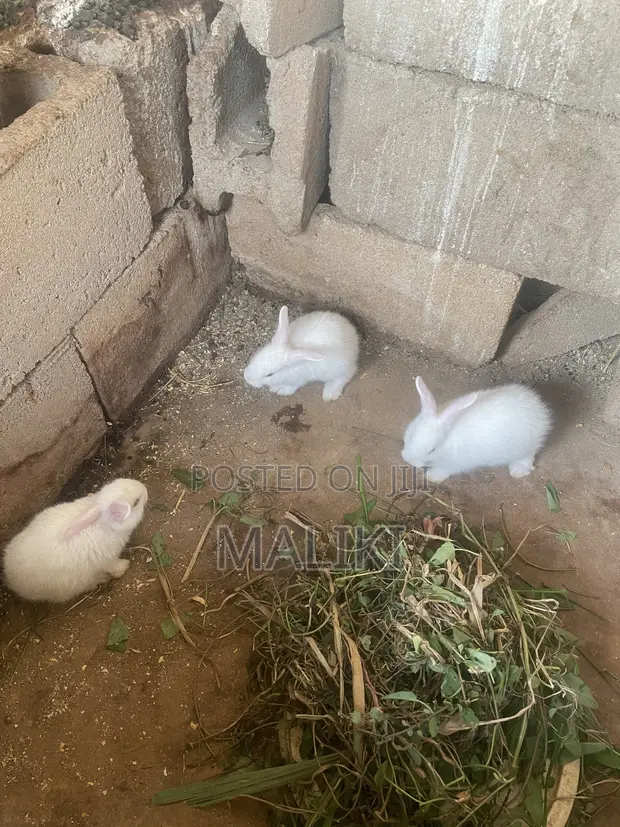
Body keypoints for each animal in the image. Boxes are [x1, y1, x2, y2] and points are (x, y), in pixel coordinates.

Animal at [2, 478, 148, 603]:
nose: (145, 489)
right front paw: (124, 566)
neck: (102, 524)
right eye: (136, 502)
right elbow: (115, 567)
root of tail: (9, 577)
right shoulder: (106, 560)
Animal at [401, 377, 553, 484]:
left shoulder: (456, 463)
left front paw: (432, 477)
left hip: (526, 447)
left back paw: (518, 471)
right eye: (410, 434)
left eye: (432, 450)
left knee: (528, 457)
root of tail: (539, 407)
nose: (408, 459)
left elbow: (445, 469)